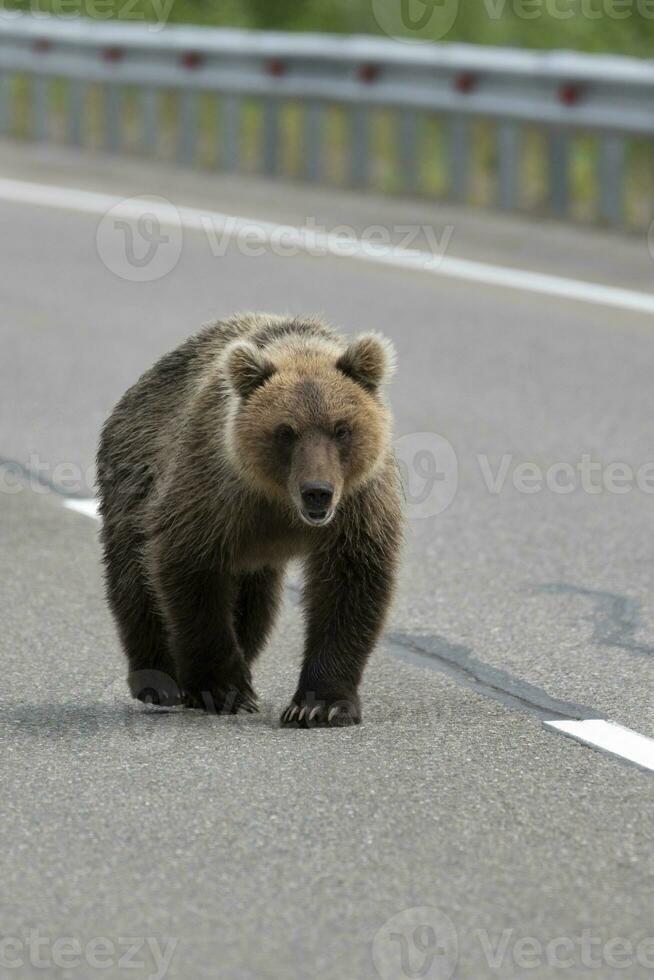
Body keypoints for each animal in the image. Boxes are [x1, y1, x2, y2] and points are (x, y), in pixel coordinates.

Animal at [97, 314, 404, 728]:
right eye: (285, 431)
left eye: (342, 428)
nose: (318, 492)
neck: (279, 502)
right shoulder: (214, 491)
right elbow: (190, 572)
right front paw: (225, 690)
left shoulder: (358, 503)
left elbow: (351, 583)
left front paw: (321, 705)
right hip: (134, 478)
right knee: (134, 579)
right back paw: (158, 679)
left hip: (255, 557)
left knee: (256, 604)